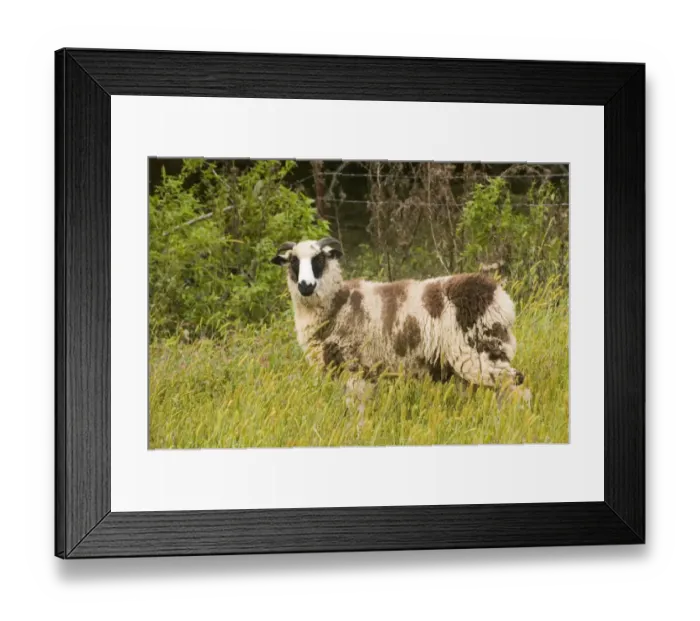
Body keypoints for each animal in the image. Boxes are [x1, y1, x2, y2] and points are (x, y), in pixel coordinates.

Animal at [271, 237, 529, 401]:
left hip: (482, 351)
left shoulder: (356, 367)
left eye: (319, 259)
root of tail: (499, 296)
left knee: (517, 389)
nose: (305, 285)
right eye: (293, 261)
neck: (338, 302)